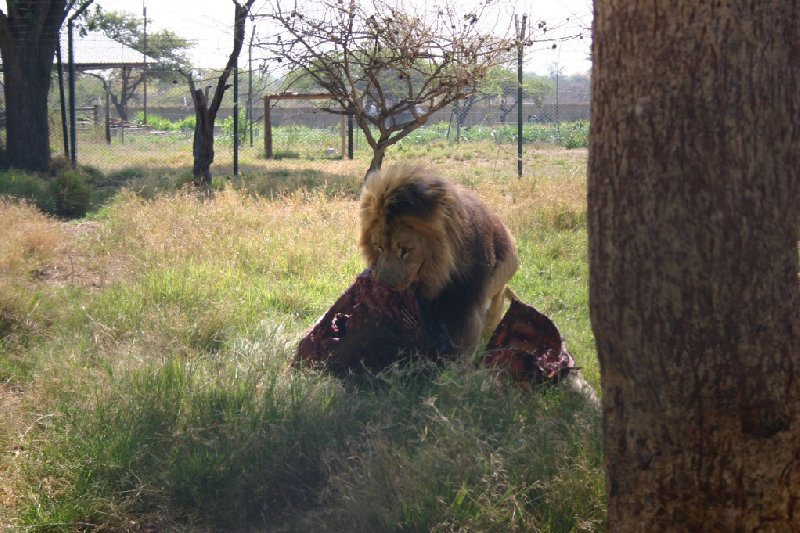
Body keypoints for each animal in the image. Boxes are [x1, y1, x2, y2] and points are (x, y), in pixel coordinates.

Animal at [356, 162, 520, 354]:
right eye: (379, 247)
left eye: (406, 250)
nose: (385, 285)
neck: (437, 276)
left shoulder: (467, 307)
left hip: (498, 292)